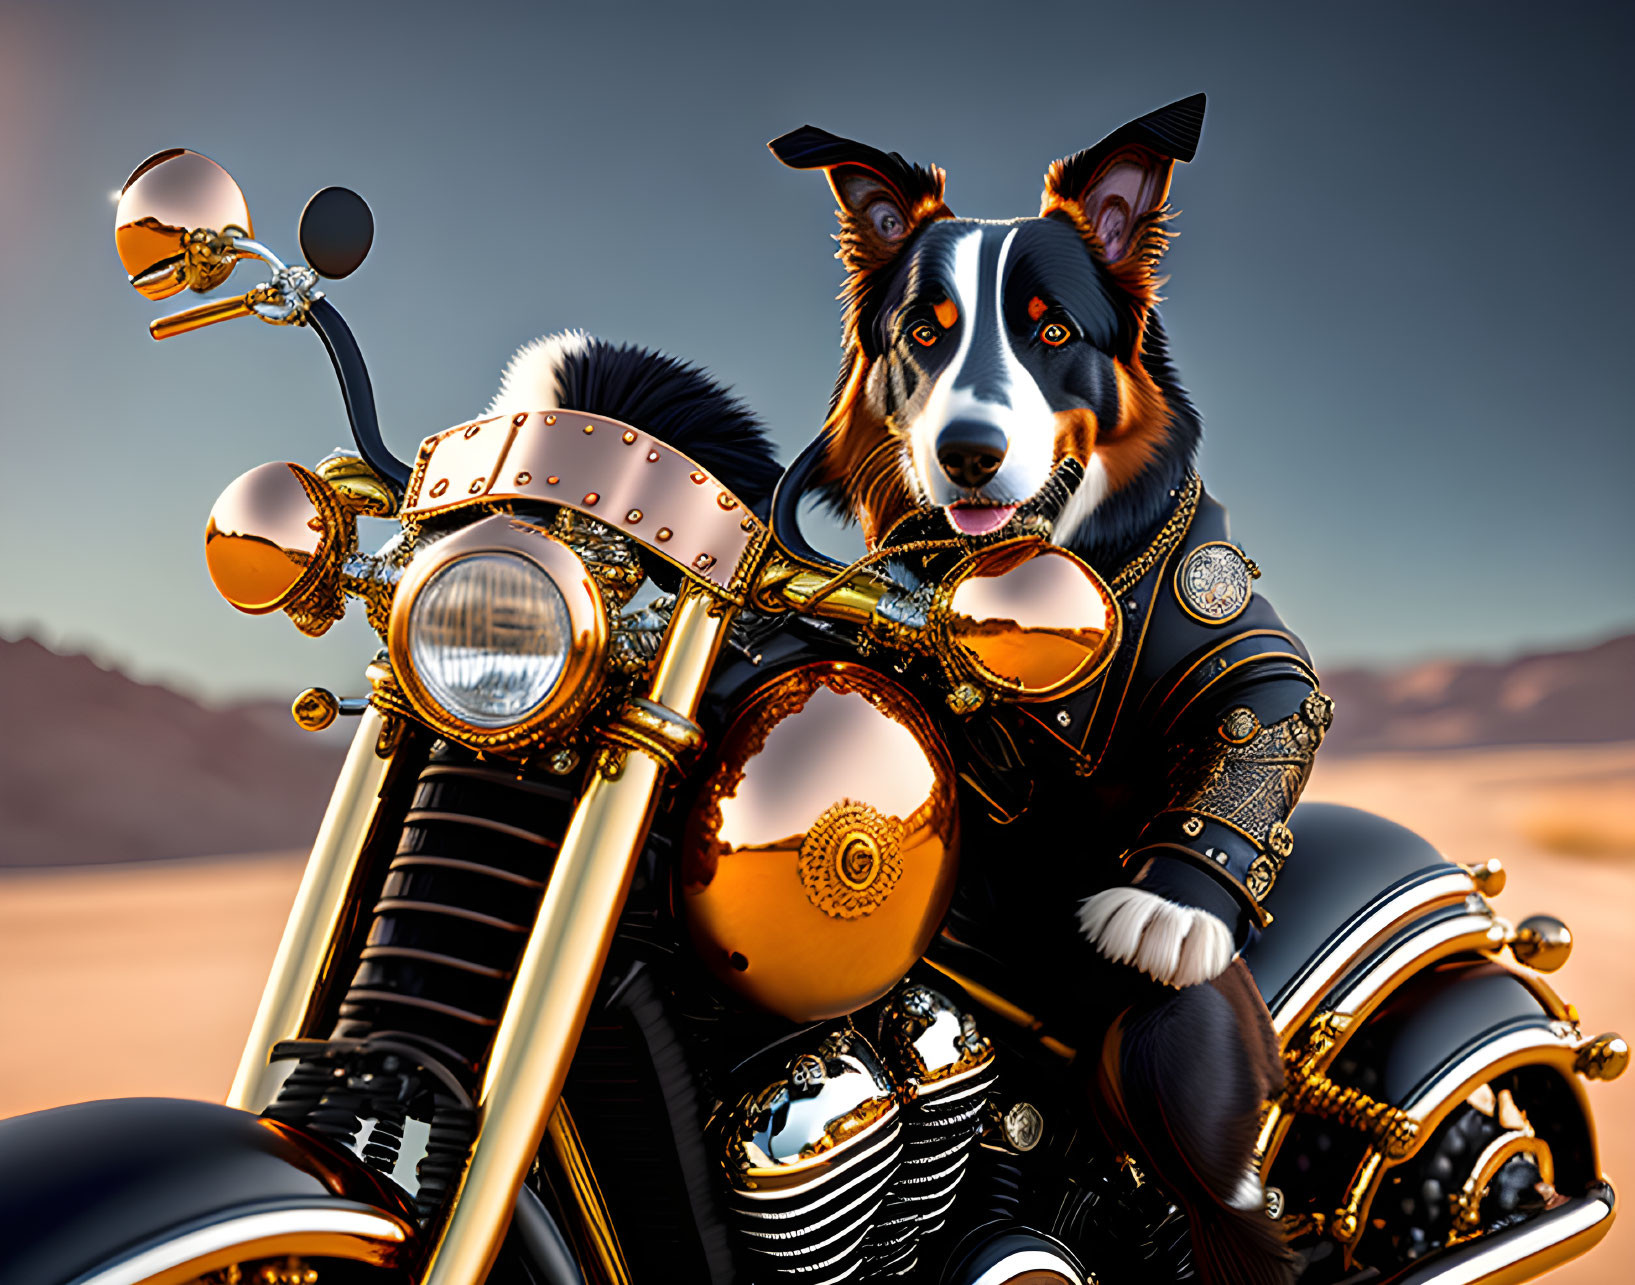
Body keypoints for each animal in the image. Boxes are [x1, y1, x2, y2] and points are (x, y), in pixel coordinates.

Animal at [768, 92, 1327, 1281]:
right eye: (923, 332)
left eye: (1053, 331)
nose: (969, 452)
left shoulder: (1230, 628)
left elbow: (1269, 701)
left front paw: (1165, 908)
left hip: (1177, 1064)